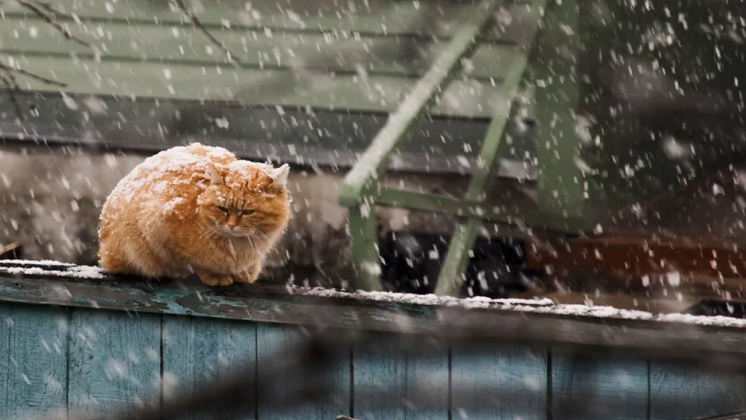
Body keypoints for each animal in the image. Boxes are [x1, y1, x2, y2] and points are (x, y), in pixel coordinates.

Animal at [96, 144, 288, 286]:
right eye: (222, 208)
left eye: (248, 212)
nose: (232, 225)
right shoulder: (157, 223)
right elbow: (194, 261)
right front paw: (213, 274)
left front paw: (243, 272)